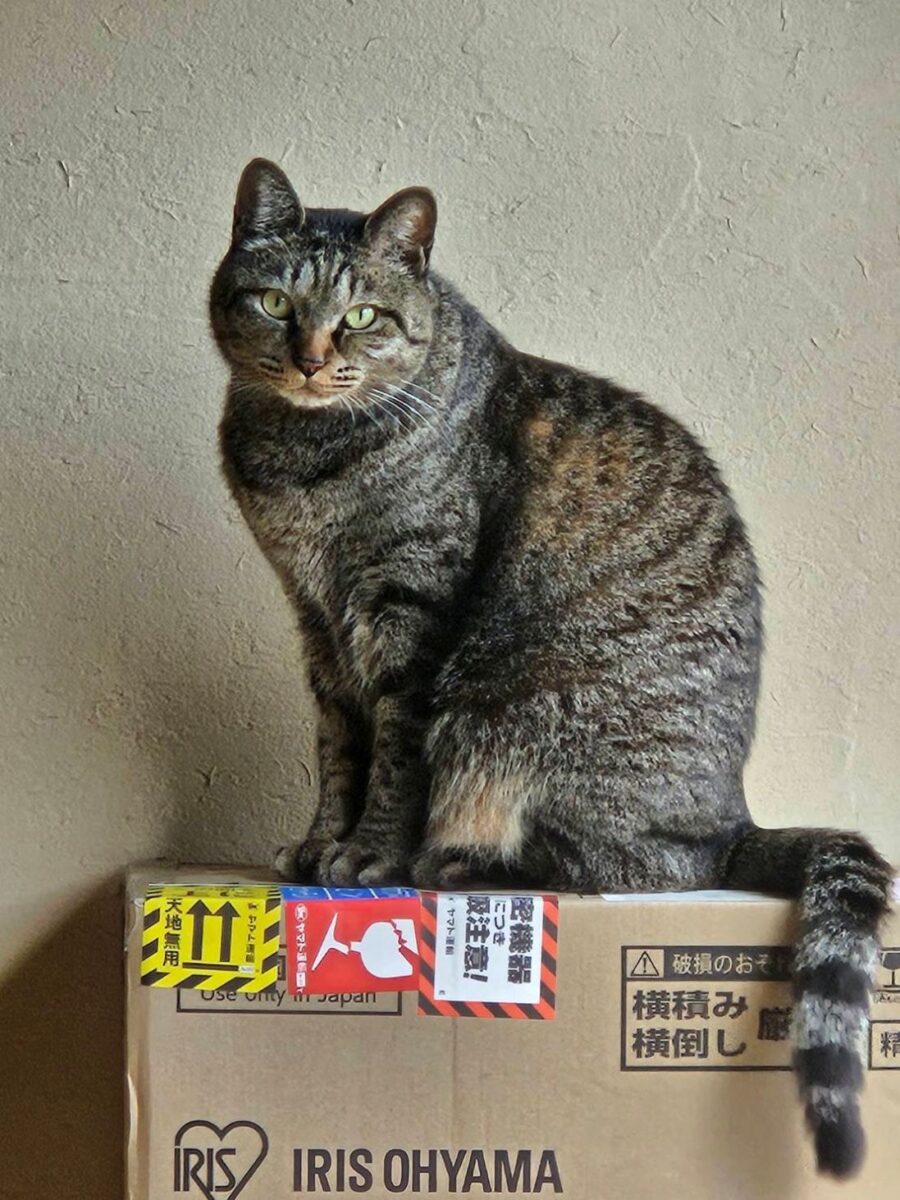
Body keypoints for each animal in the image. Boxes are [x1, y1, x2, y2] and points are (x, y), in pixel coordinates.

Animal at [210, 158, 891, 1178]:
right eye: (274, 301)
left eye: (362, 314)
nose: (310, 356)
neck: (304, 466)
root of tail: (736, 817)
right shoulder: (319, 627)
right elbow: (338, 751)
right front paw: (317, 844)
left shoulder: (412, 619)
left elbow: (393, 759)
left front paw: (368, 856)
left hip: (514, 712)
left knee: (631, 866)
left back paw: (463, 864)